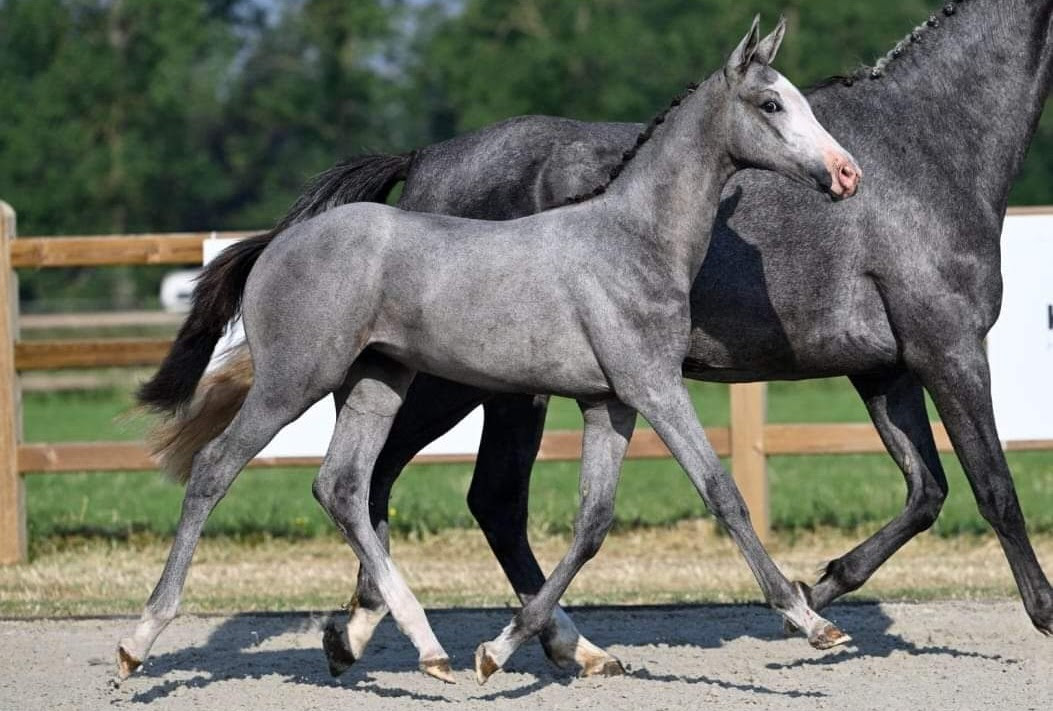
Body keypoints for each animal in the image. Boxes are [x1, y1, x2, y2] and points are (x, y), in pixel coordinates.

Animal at [148, 0, 1053, 678]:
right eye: (771, 105)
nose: (842, 175)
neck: (929, 144)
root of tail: (426, 157)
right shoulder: (945, 348)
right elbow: (993, 490)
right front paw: (1041, 615)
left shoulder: (884, 370)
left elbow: (925, 492)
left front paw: (819, 585)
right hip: (459, 384)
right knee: (417, 488)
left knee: (411, 489)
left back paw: (430, 636)